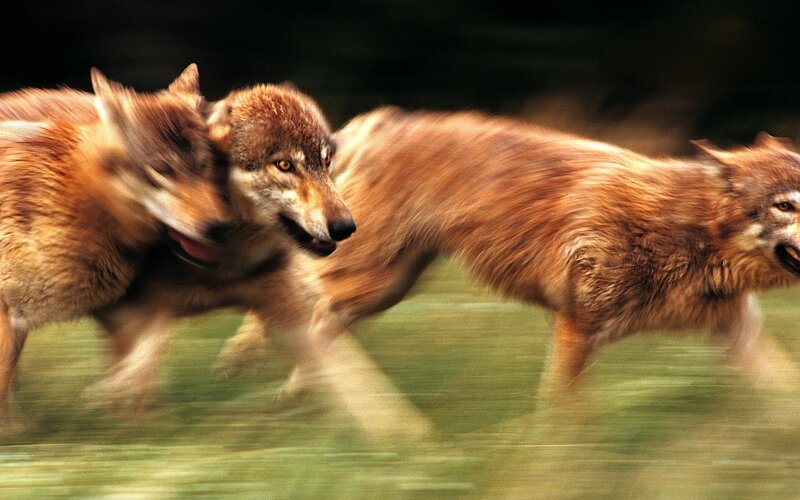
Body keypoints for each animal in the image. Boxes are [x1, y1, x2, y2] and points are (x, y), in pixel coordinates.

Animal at [219, 107, 800, 408]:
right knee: (293, 291)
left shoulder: (739, 337)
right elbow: (562, 422)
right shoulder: (576, 329)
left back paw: (301, 394)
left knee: (317, 322)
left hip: (381, 291)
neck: (687, 233)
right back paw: (247, 360)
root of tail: (380, 119)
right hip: (368, 280)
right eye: (787, 204)